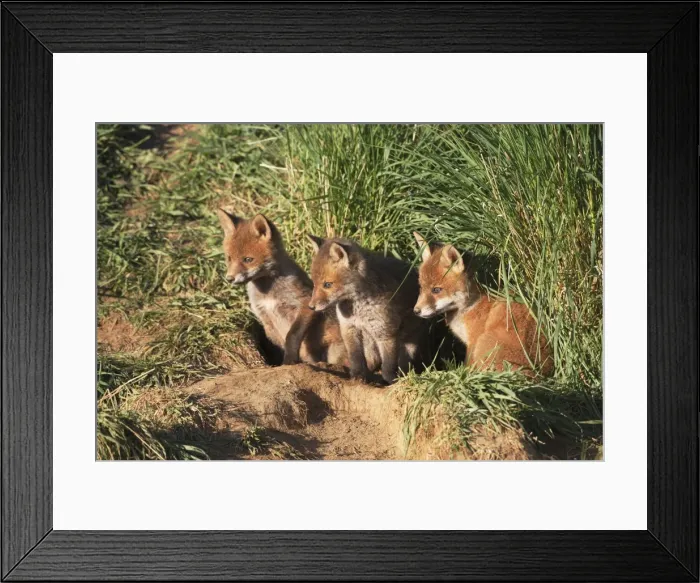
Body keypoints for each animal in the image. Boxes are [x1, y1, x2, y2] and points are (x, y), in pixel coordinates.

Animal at [217, 210, 347, 366]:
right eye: (229, 258)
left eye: (248, 259)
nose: (229, 278)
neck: (268, 294)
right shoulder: (266, 318)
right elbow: (279, 345)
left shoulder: (304, 302)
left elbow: (292, 336)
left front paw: (290, 361)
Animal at [307, 235, 429, 384]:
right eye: (314, 283)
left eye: (327, 284)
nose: (311, 306)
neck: (359, 309)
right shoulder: (349, 328)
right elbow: (356, 358)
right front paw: (357, 376)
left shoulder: (386, 332)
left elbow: (388, 364)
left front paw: (389, 381)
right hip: (369, 341)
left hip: (408, 340)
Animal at [412, 232, 553, 376]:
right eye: (421, 287)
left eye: (436, 290)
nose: (416, 311)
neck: (471, 305)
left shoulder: (473, 342)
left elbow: (468, 366)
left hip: (483, 343)